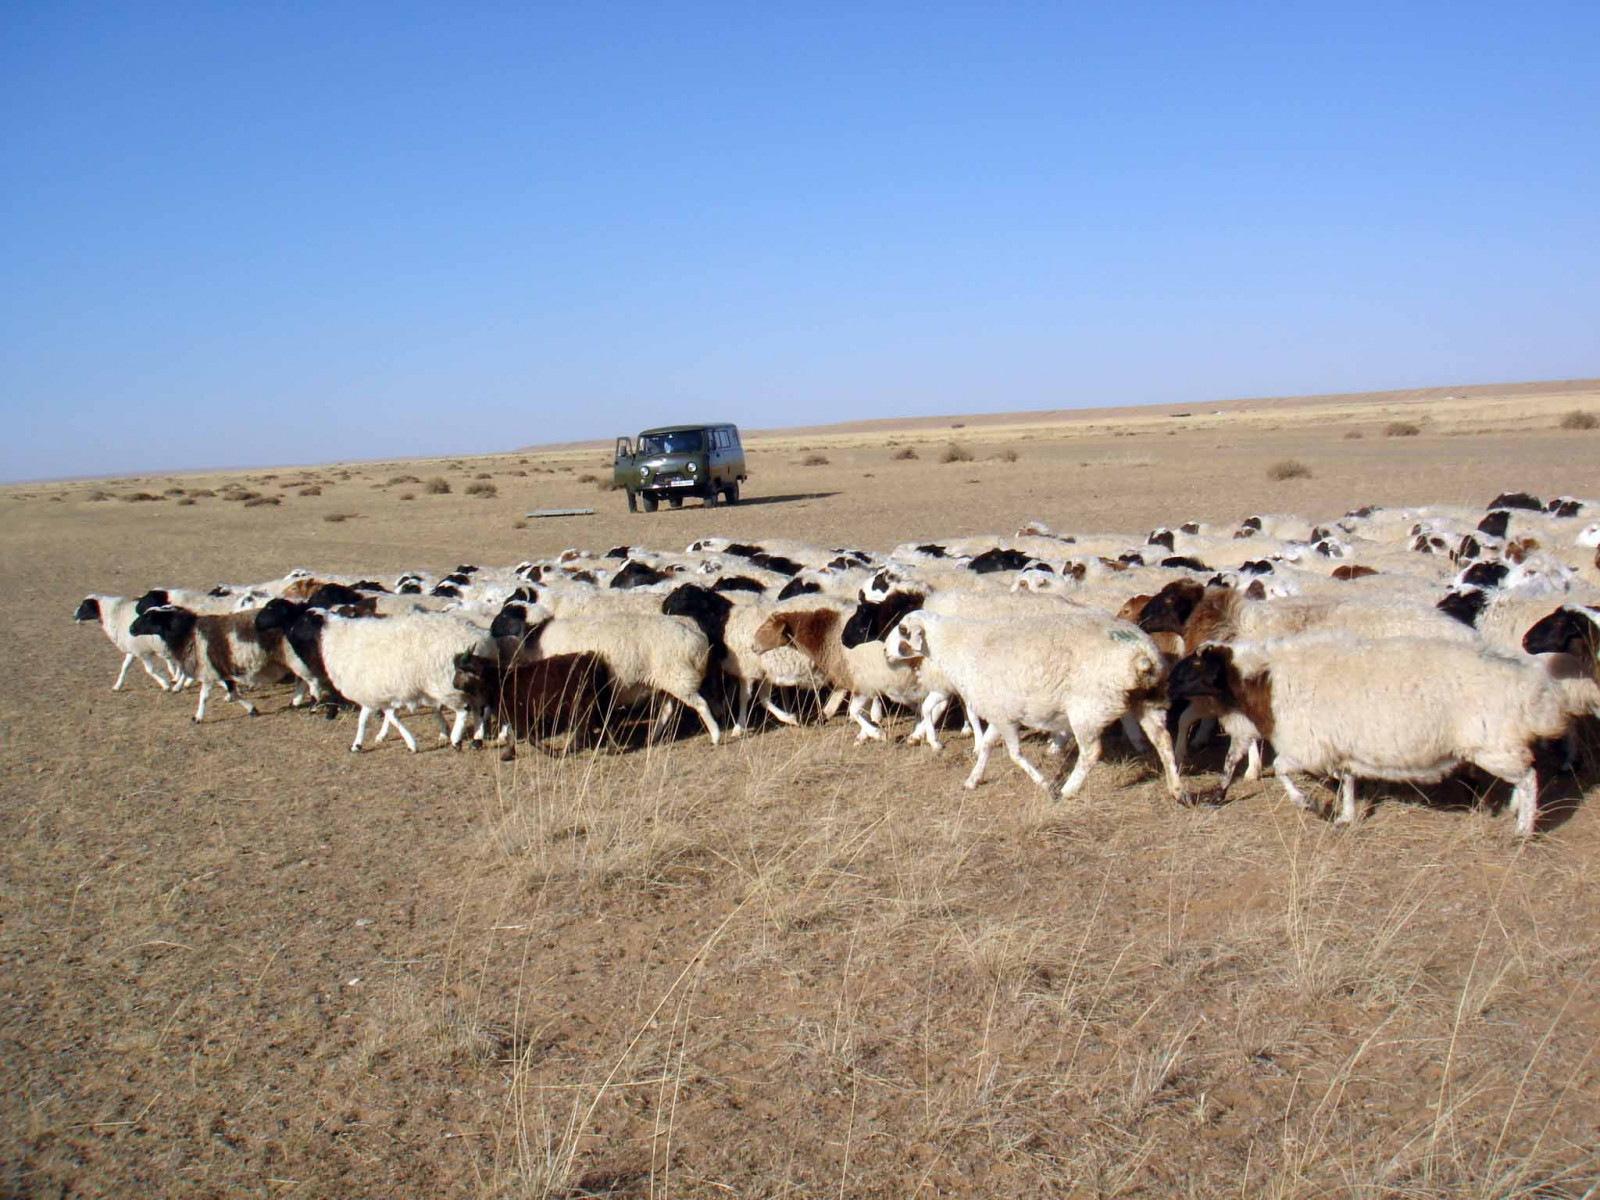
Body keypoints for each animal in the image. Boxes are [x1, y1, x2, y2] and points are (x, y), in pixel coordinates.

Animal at [883, 614, 1184, 803]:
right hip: (1149, 700)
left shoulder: (1003, 714)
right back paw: (1178, 790)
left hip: (1087, 708)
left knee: (1091, 752)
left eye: (903, 630)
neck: (957, 646)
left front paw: (1045, 784)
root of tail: (1141, 655)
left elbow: (1014, 754)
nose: (885, 653)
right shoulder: (1000, 711)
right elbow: (989, 745)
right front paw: (973, 779)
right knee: (1164, 740)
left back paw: (1068, 790)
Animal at [1158, 640, 1568, 838]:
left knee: (1529, 777)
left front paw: (1311, 805)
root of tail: (1535, 691)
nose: (1165, 685)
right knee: (1523, 776)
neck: (1263, 679)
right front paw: (1345, 817)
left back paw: (1523, 831)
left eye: (1194, 666)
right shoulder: (1338, 744)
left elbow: (1283, 769)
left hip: (1491, 744)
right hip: (1500, 745)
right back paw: (1515, 813)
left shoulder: (1308, 743)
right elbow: (1349, 780)